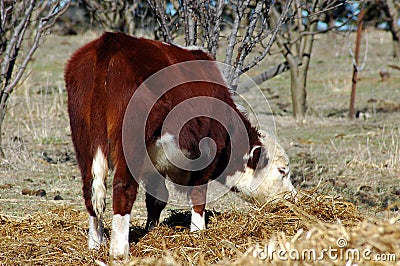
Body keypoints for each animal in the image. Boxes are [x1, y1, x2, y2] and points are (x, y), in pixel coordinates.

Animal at [65, 32, 296, 262]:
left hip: (84, 142)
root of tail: (112, 40)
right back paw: (119, 251)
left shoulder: (155, 164)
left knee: (91, 191)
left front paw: (152, 230)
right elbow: (198, 195)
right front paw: (198, 232)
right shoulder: (204, 157)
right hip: (129, 146)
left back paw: (95, 245)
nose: (292, 198)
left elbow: (157, 198)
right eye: (282, 171)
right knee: (123, 189)